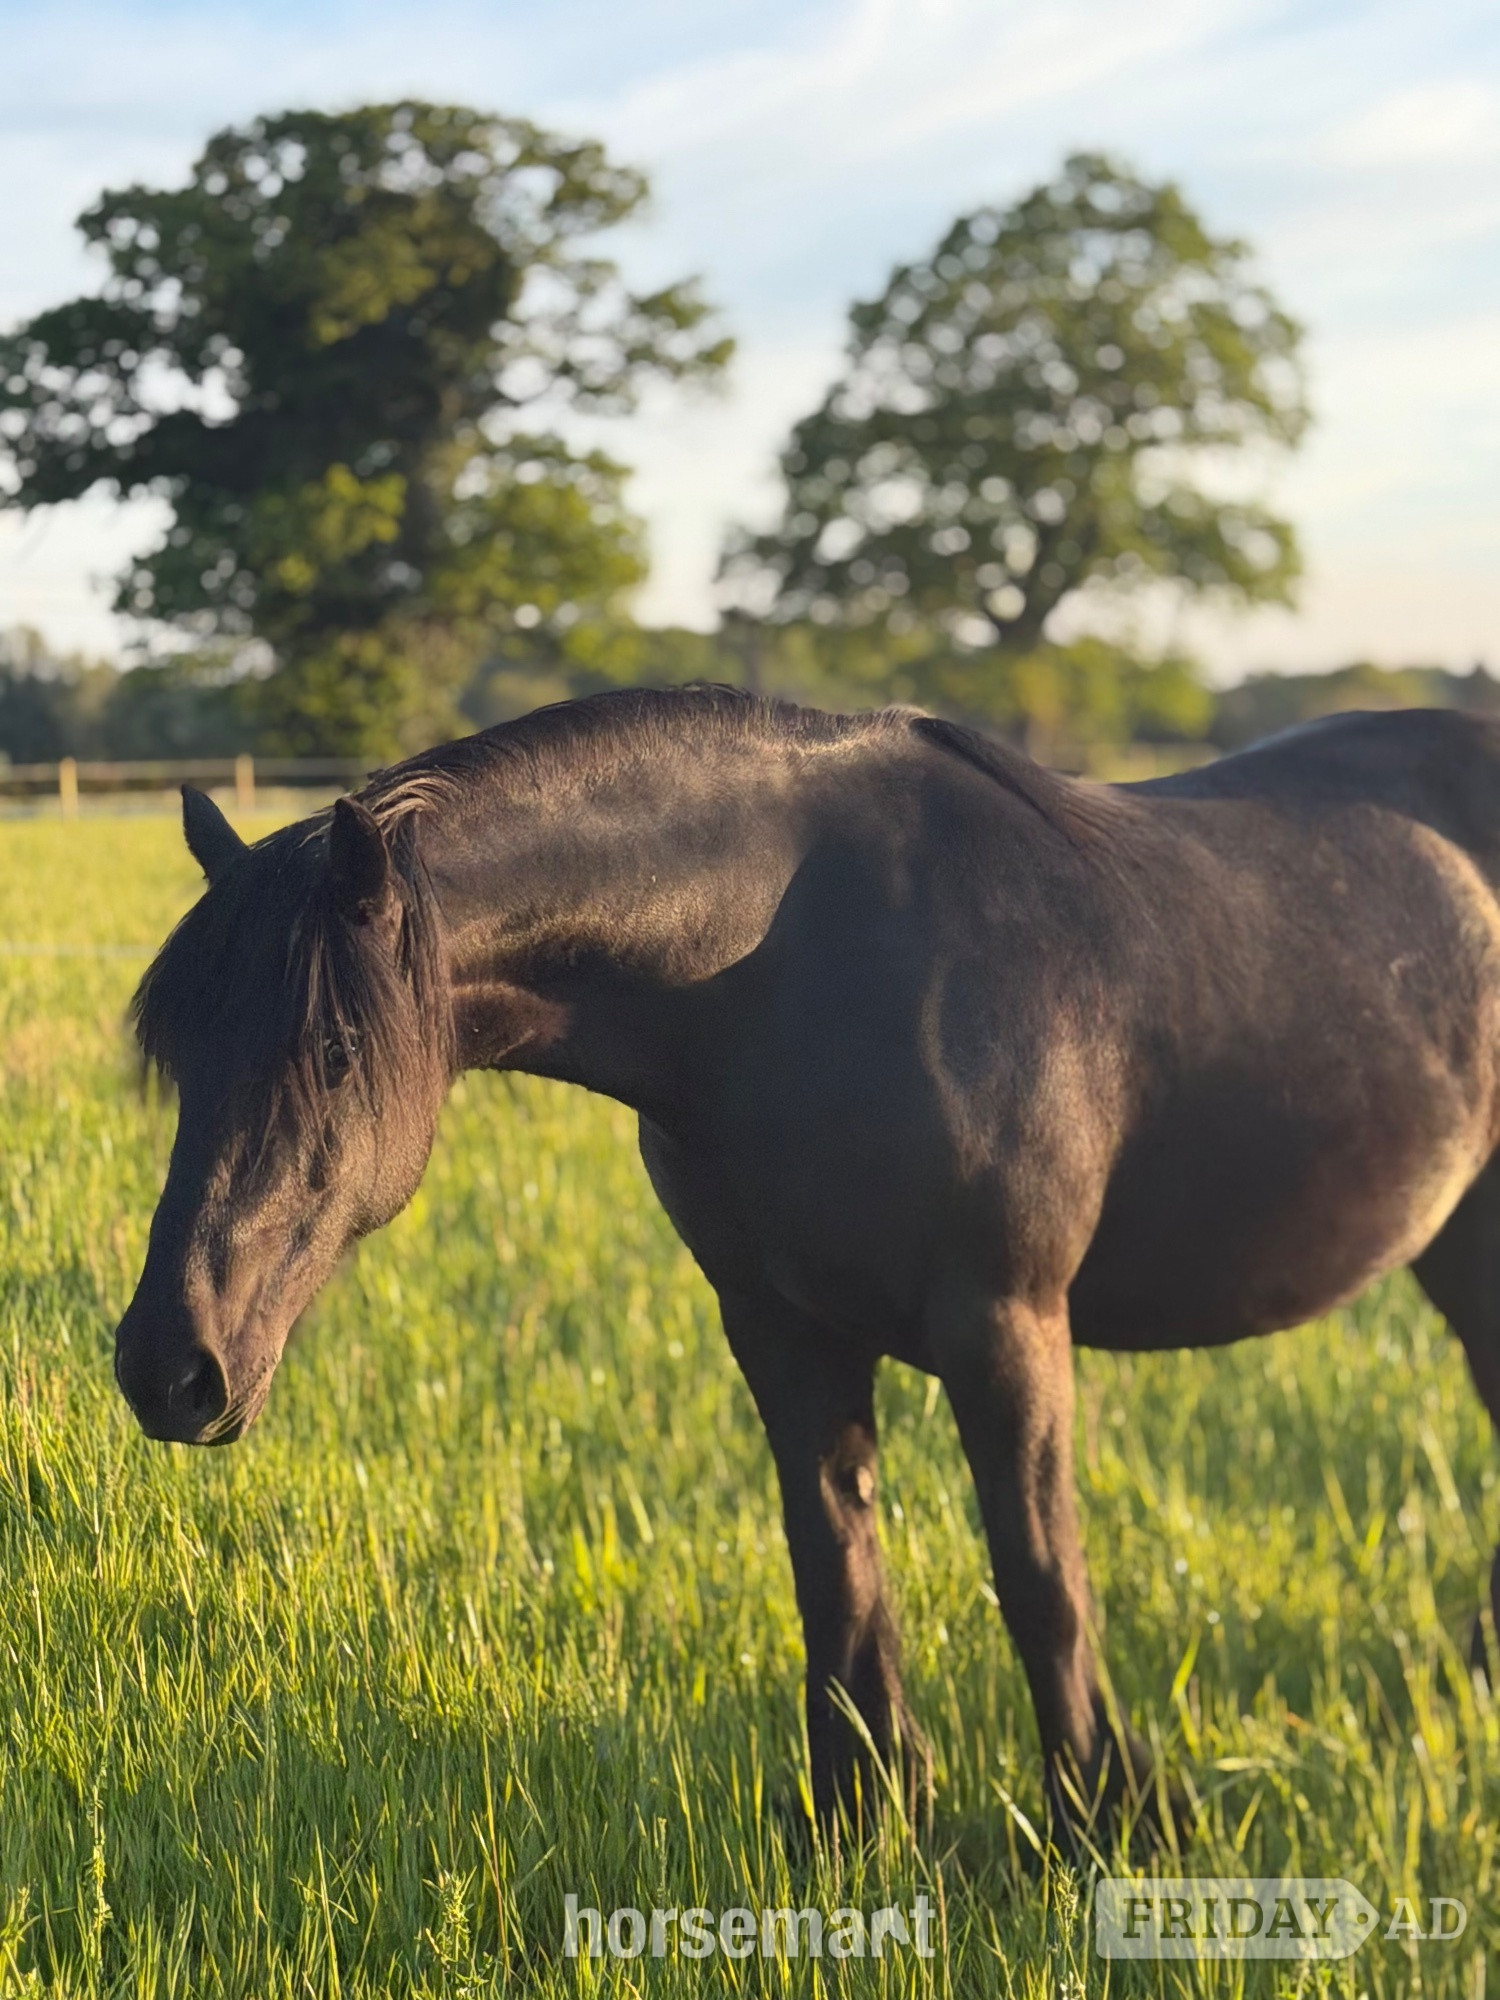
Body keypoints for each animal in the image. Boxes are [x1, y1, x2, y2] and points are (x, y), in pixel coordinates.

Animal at [113, 686, 1500, 1841]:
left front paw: (1104, 1821)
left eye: (336, 1049)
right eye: (182, 1046)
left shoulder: (1007, 1324)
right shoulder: (779, 1326)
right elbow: (832, 1564)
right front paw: (864, 1815)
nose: (168, 1367)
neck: (793, 964)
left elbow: (1040, 1574)